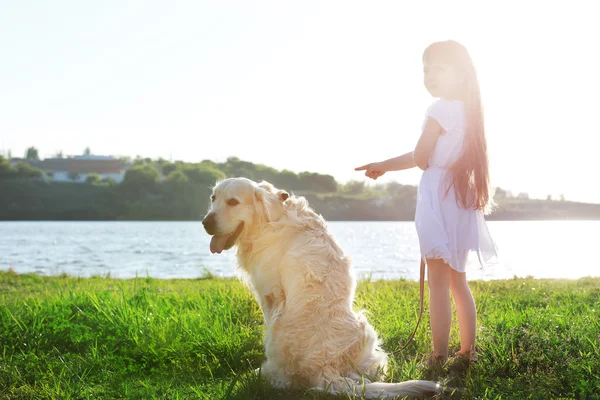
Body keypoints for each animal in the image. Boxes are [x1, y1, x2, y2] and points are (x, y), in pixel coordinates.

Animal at [202, 178, 440, 396]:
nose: (205, 223)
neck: (271, 218)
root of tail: (325, 369)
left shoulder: (270, 294)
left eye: (233, 202)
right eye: (213, 198)